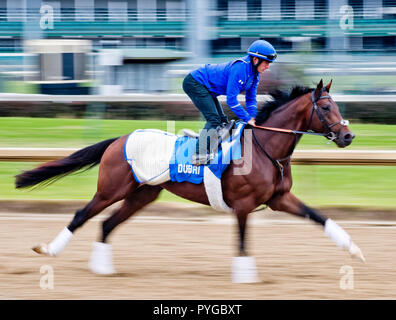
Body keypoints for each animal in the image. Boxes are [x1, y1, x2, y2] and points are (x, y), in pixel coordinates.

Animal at [14, 79, 366, 278]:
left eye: (336, 105)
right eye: (325, 107)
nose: (348, 136)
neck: (265, 146)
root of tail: (119, 138)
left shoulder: (280, 199)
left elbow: (318, 216)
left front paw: (355, 250)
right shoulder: (243, 205)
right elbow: (242, 241)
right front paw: (245, 276)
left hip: (142, 194)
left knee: (107, 224)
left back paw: (103, 268)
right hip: (110, 190)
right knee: (82, 215)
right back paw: (49, 250)